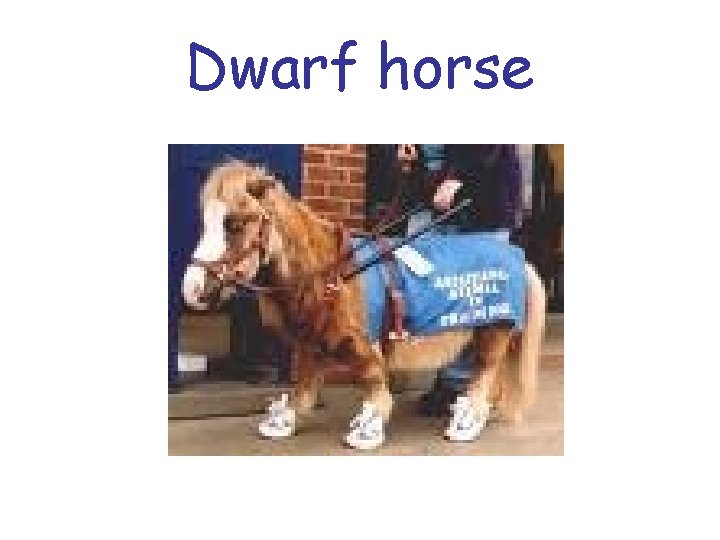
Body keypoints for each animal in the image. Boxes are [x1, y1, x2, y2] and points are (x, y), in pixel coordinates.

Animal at [181, 160, 547, 450]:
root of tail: (517, 256)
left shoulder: (361, 341)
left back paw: (467, 421)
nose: (192, 290)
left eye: (235, 223)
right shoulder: (309, 339)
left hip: (494, 327)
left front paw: (367, 428)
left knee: (484, 369)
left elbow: (372, 377)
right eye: (205, 222)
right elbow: (303, 382)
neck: (329, 270)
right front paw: (283, 420)